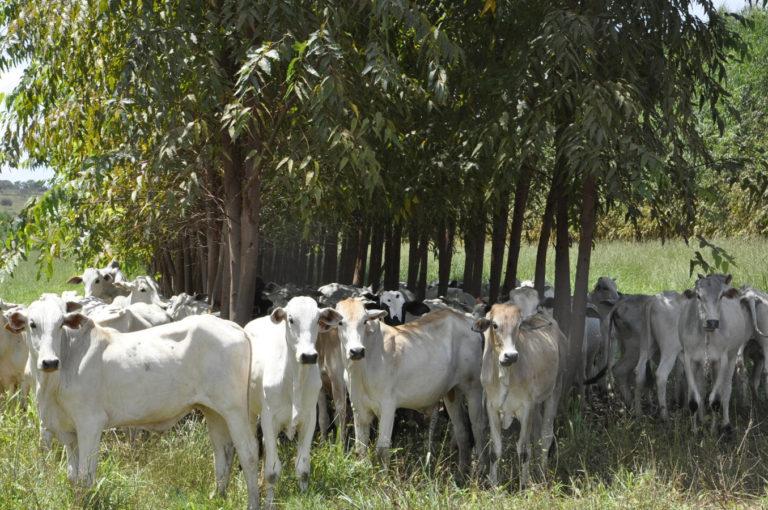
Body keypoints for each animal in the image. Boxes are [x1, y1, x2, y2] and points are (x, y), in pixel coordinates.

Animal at [3, 292, 262, 508]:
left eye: (60, 324)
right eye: (32, 324)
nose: (49, 362)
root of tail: (233, 326)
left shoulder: (90, 423)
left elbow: (86, 476)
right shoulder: (67, 430)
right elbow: (73, 476)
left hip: (236, 409)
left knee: (249, 454)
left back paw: (252, 503)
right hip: (213, 411)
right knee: (223, 451)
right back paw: (217, 497)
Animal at [246, 294, 342, 506]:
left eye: (317, 319)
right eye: (291, 319)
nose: (308, 356)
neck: (295, 379)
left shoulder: (309, 419)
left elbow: (303, 468)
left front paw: (304, 497)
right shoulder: (269, 418)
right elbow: (273, 472)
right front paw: (269, 504)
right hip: (249, 413)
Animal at [332, 298, 486, 470]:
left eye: (364, 321)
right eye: (340, 322)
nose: (357, 351)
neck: (361, 369)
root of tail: (469, 319)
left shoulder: (388, 406)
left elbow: (382, 451)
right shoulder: (358, 408)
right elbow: (360, 450)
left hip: (474, 388)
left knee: (478, 429)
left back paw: (480, 470)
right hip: (452, 392)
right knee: (462, 433)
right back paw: (462, 472)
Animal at [474, 304, 564, 488]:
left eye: (519, 326)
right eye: (495, 325)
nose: (511, 355)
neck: (504, 374)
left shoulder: (526, 408)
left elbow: (523, 451)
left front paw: (523, 487)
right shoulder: (491, 407)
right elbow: (495, 450)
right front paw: (493, 486)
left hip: (555, 390)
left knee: (545, 435)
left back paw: (542, 474)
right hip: (536, 405)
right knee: (537, 436)